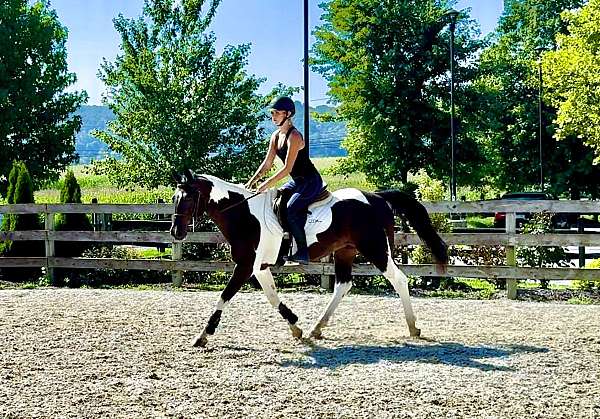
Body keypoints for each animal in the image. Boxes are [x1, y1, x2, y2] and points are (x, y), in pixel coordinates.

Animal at [169, 169, 446, 350]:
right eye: (174, 198)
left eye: (189, 198)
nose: (175, 232)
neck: (244, 215)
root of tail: (376, 197)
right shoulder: (259, 267)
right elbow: (272, 298)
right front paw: (295, 326)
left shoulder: (246, 266)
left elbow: (224, 297)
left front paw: (203, 335)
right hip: (345, 251)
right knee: (343, 285)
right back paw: (317, 328)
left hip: (377, 249)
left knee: (399, 280)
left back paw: (413, 327)